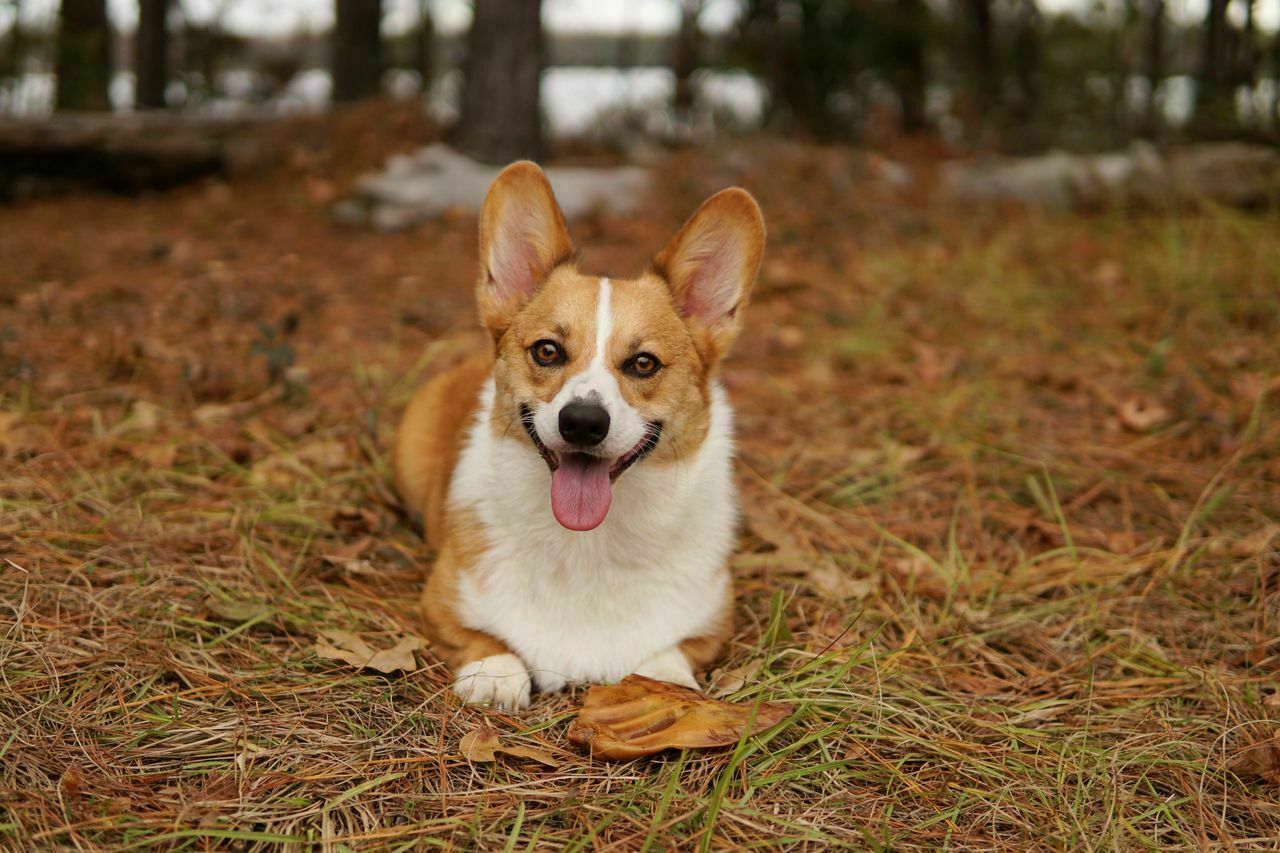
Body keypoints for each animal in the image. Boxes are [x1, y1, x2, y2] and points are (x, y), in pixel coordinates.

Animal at [394, 162, 762, 706]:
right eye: (547, 351)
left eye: (643, 363)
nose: (583, 422)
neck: (589, 543)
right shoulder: (442, 600)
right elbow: (484, 638)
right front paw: (495, 674)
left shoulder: (711, 621)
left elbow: (669, 653)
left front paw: (663, 682)